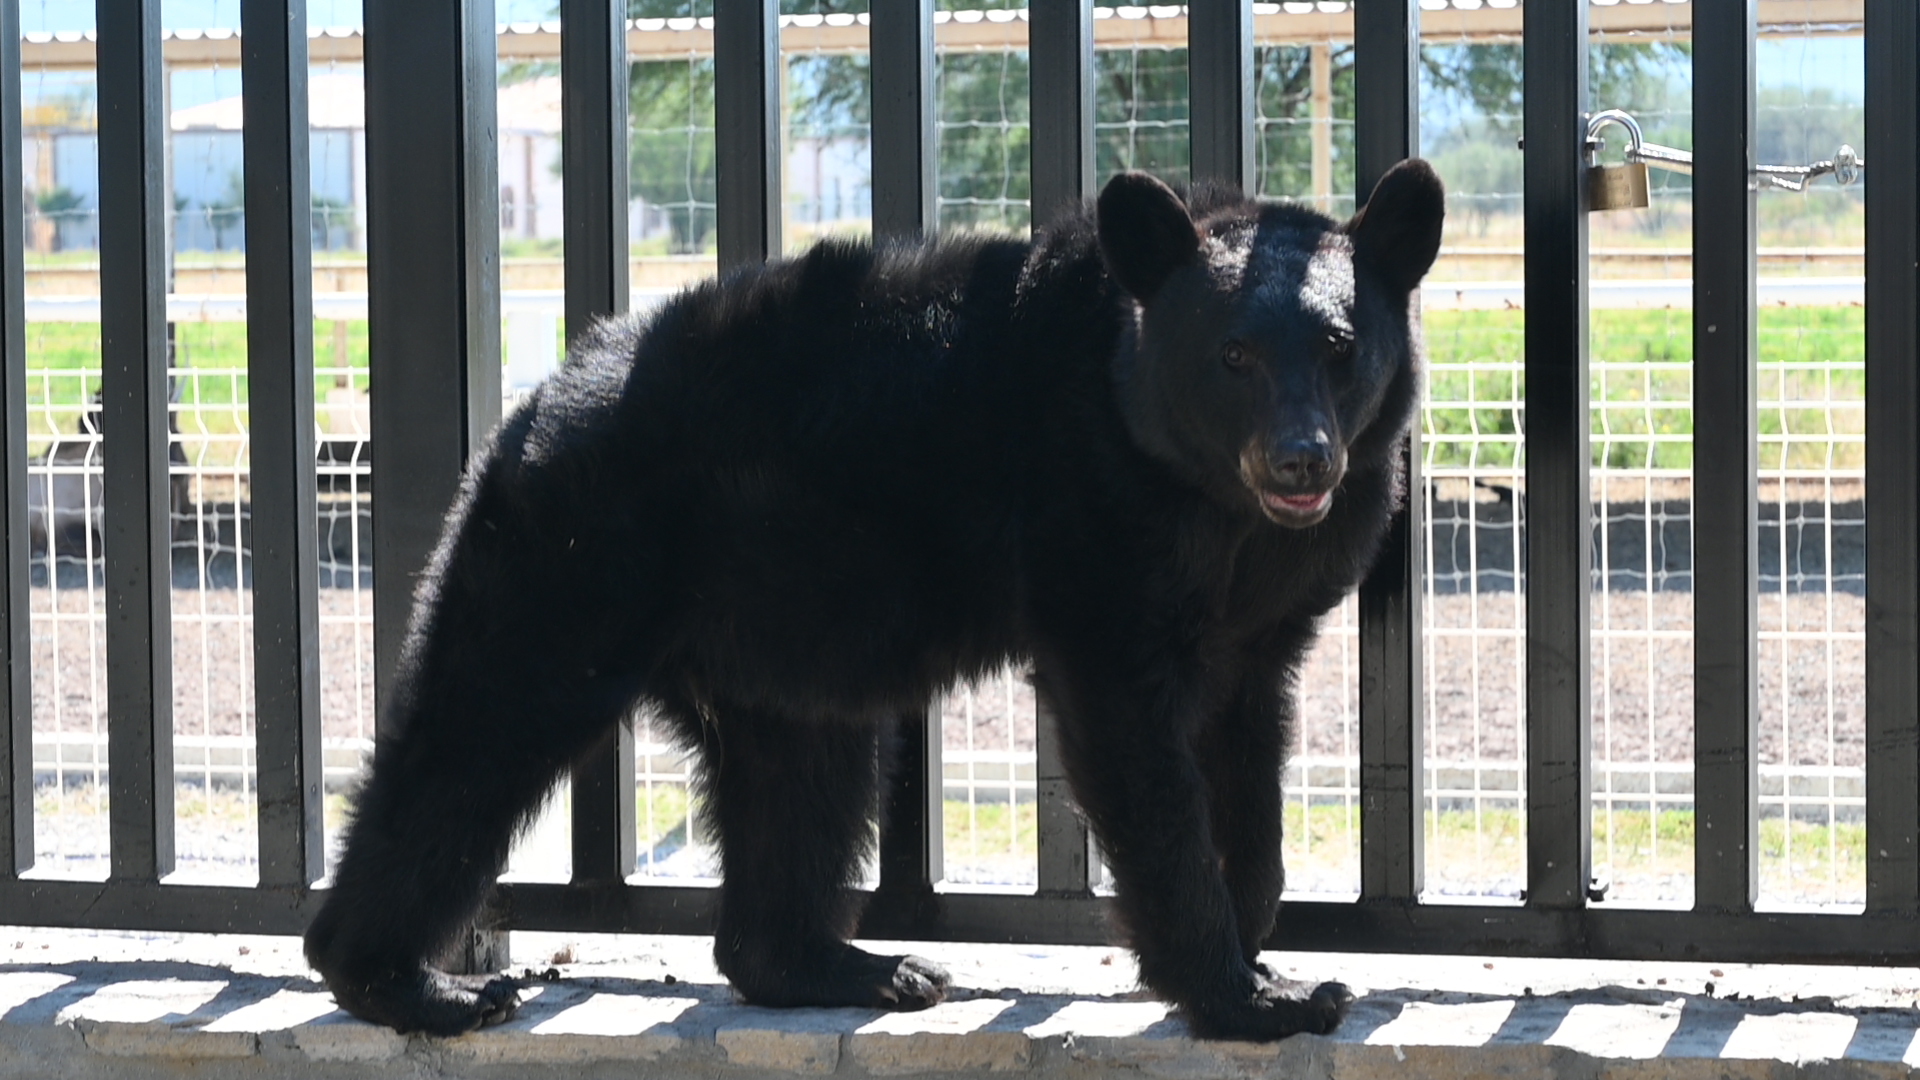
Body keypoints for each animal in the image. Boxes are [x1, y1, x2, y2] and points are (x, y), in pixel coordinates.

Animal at [303, 161, 1443, 1045]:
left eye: (1341, 347)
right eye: (1233, 355)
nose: (1301, 460)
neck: (1210, 499)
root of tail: (539, 400)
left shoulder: (1265, 610)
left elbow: (1247, 753)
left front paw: (1261, 946)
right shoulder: (1090, 520)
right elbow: (1137, 748)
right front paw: (1248, 995)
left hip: (783, 635)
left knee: (804, 774)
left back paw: (852, 966)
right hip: (573, 558)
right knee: (477, 730)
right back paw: (412, 981)